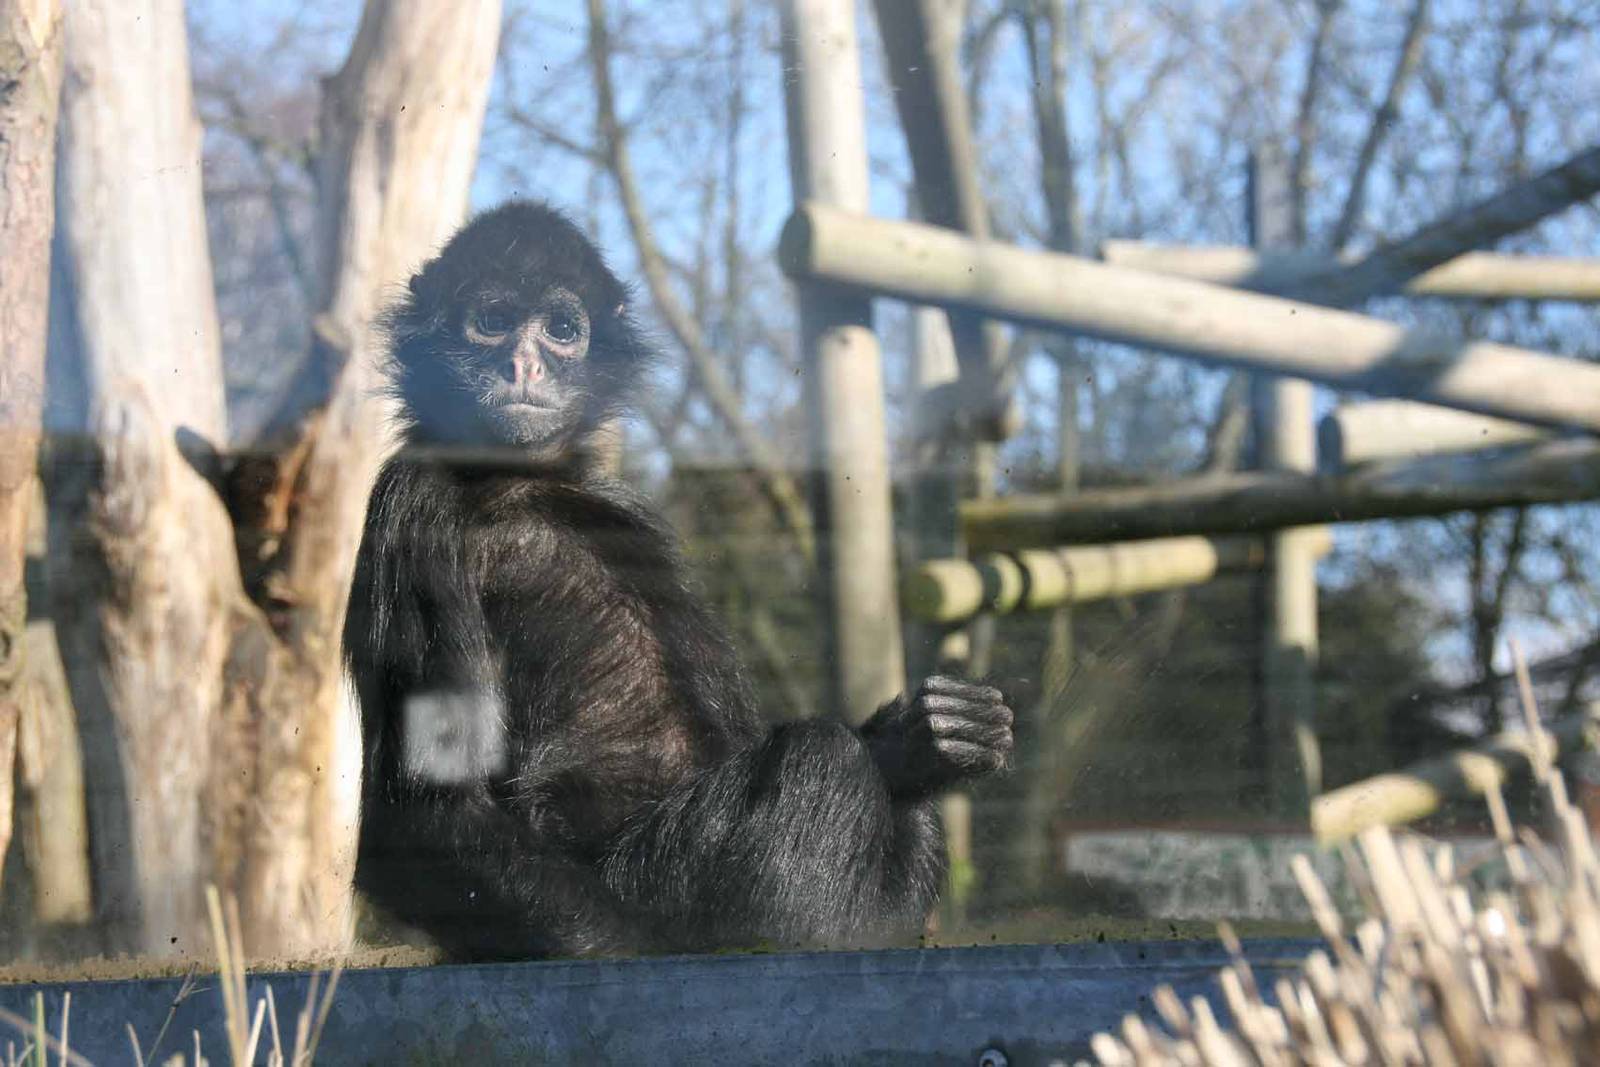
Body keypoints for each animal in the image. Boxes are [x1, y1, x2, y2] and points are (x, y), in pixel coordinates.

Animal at [342, 200, 1013, 960]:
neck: (520, 482)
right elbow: (417, 818)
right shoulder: (411, 502)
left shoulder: (625, 507)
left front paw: (919, 737)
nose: (524, 362)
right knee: (821, 756)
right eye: (492, 318)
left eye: (561, 330)